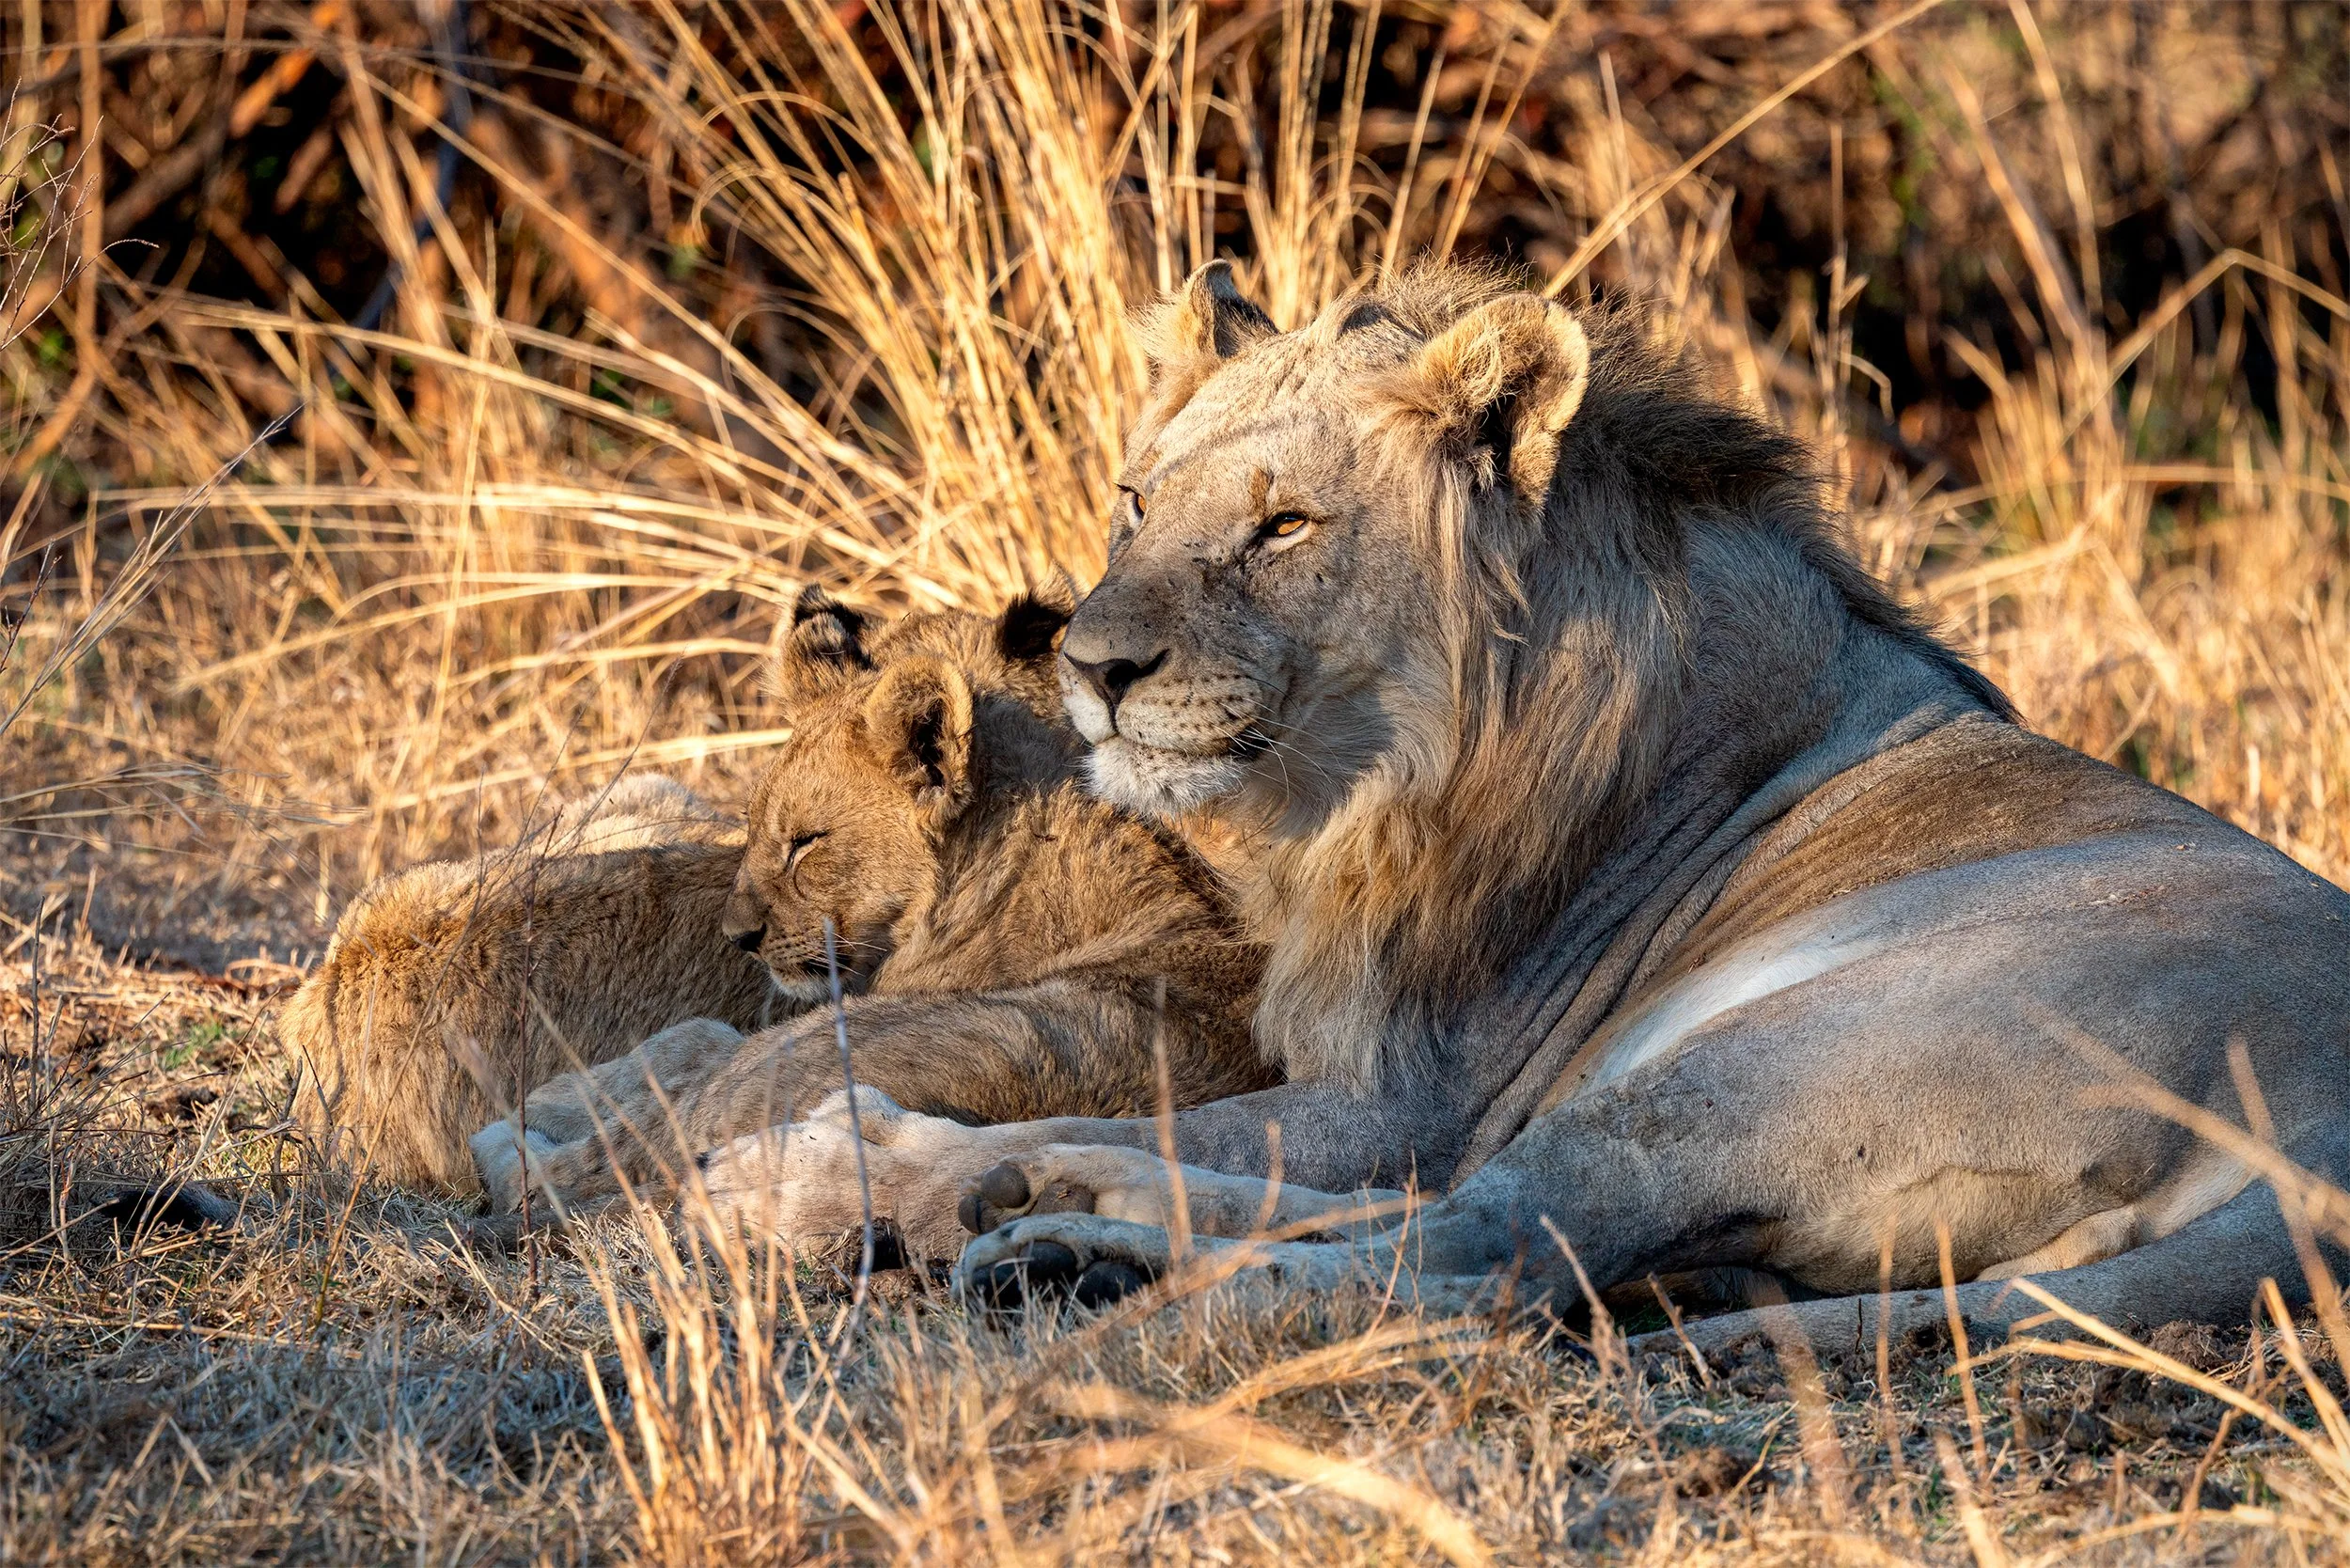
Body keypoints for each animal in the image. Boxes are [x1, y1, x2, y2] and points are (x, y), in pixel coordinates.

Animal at [673, 261, 2346, 1352]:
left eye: (1286, 527)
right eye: (1139, 502)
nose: (1090, 669)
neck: (1370, 781)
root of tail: (2323, 1161)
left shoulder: (1415, 1087)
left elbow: (1202, 1116)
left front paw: (815, 1158)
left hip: (1772, 1055)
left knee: (1482, 1261)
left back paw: (997, 1224)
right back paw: (1046, 1223)